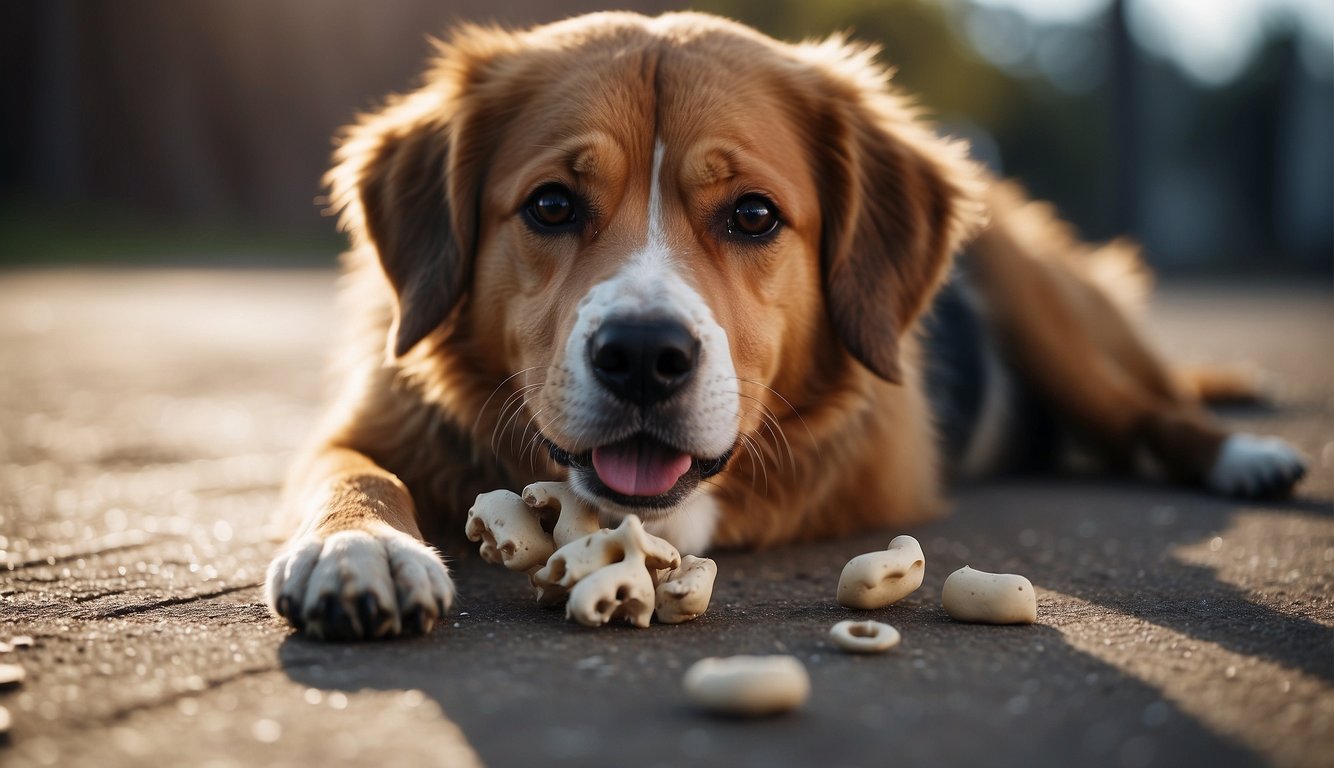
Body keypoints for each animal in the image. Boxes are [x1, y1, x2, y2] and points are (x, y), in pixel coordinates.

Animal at [260, 12, 1301, 640]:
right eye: (551, 205)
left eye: (753, 215)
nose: (644, 359)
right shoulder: (363, 424)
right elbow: (352, 473)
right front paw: (361, 549)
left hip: (1046, 305)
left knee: (1142, 411)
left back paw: (1243, 455)